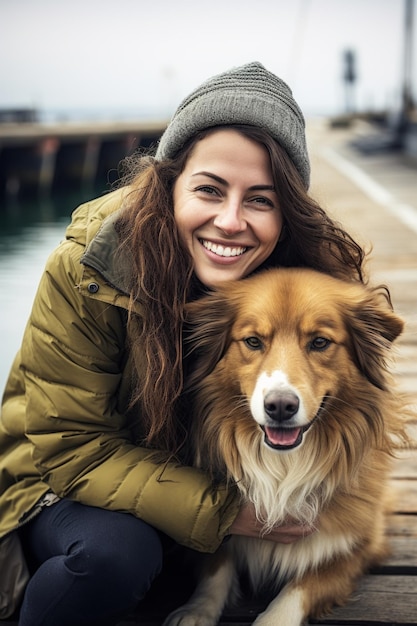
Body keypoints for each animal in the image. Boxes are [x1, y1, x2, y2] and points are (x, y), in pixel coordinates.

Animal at [162, 266, 406, 624]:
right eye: (253, 341)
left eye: (319, 342)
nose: (279, 406)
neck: (284, 467)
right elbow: (216, 566)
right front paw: (196, 610)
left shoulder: (357, 547)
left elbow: (299, 589)